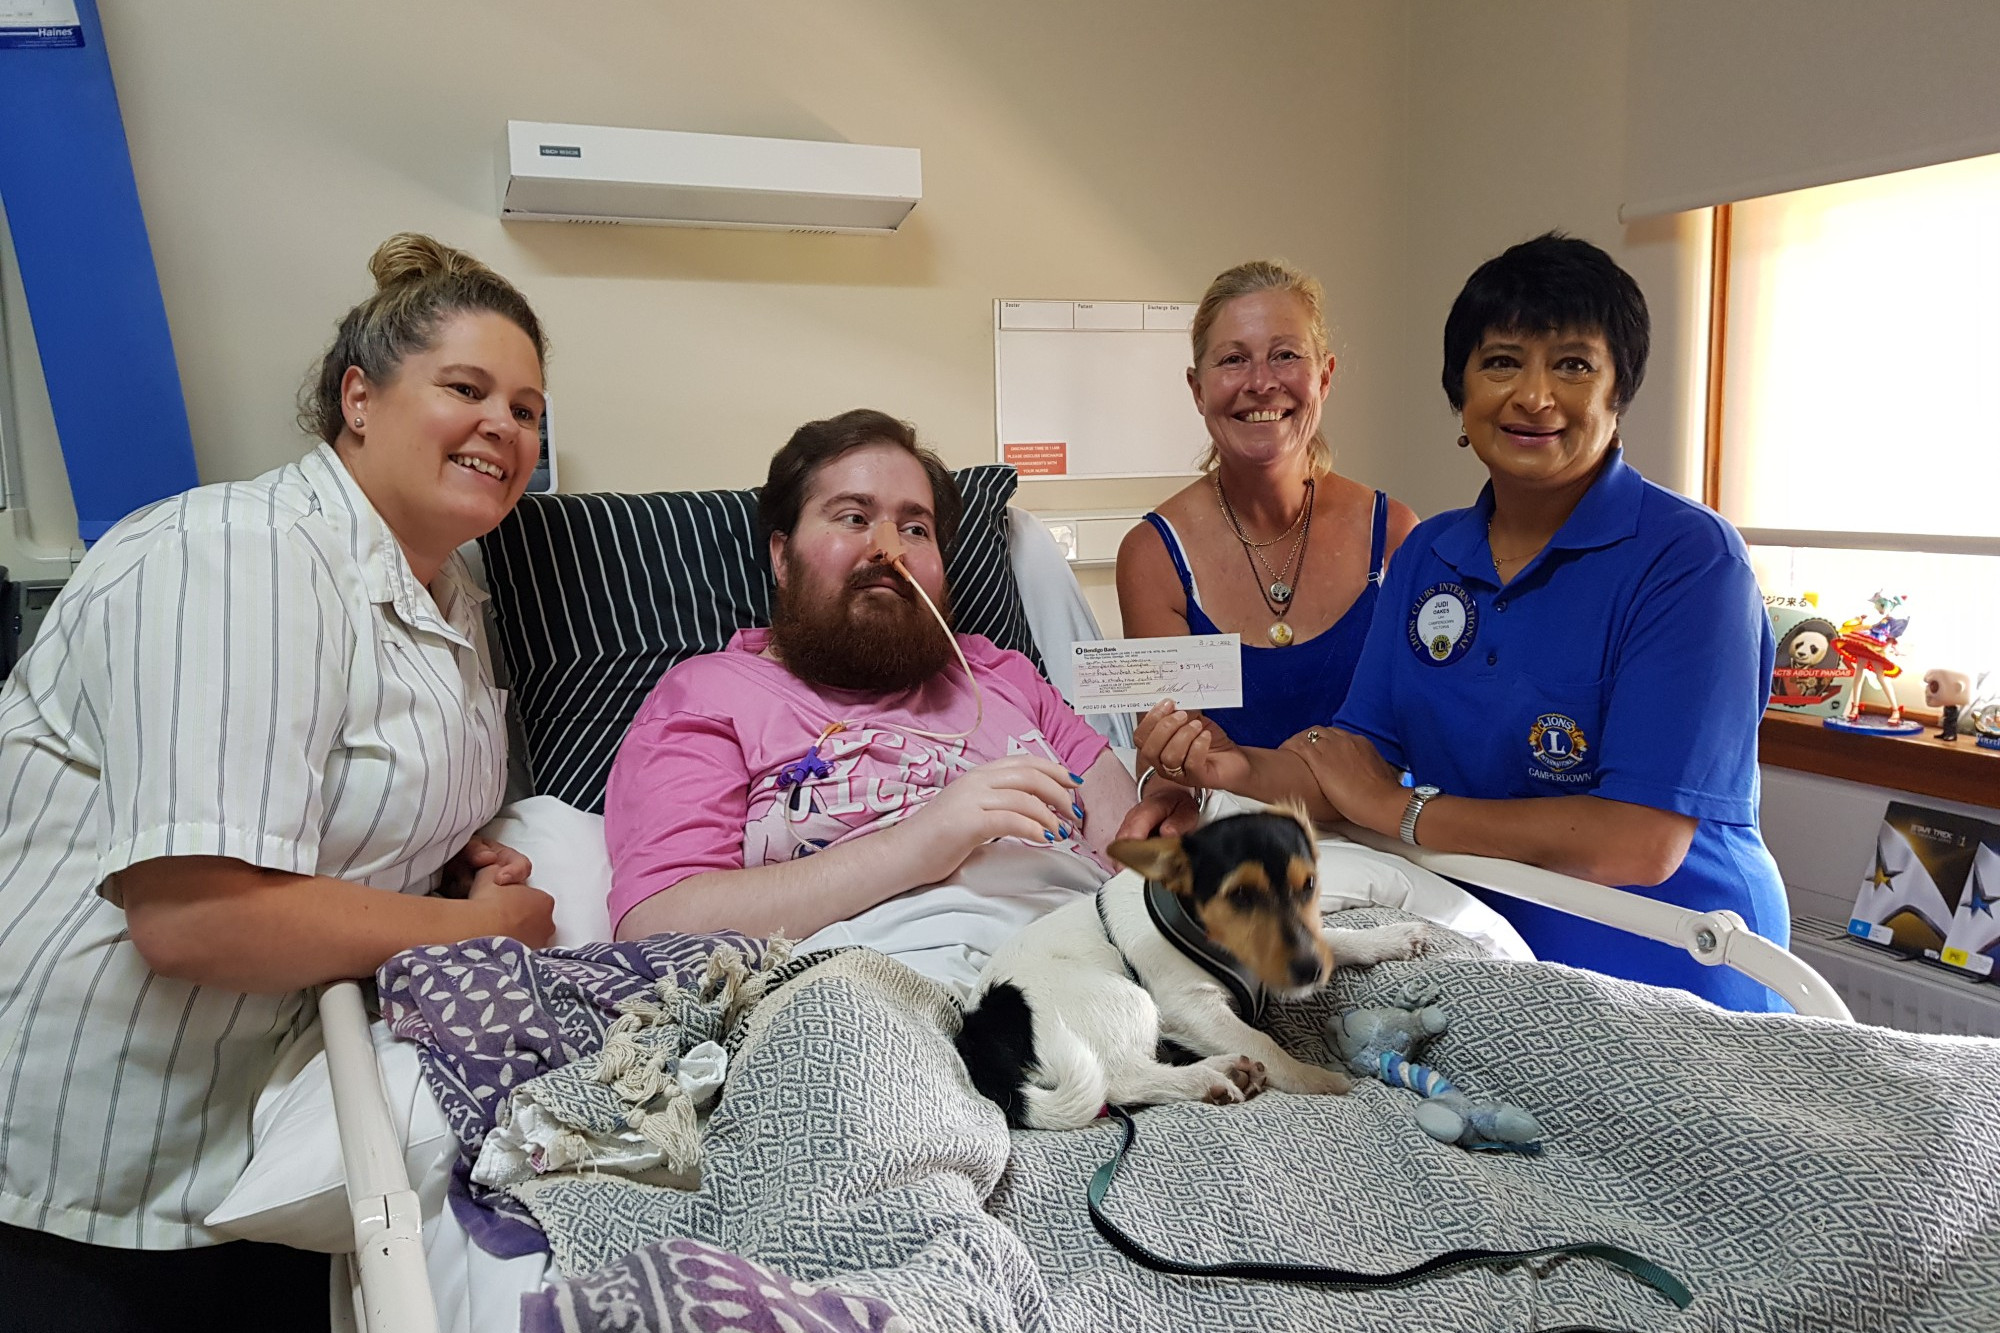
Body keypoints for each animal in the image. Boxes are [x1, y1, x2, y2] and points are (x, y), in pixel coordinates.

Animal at [960, 800, 1432, 1120]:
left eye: (1310, 885)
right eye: (1240, 895)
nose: (1309, 972)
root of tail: (981, 1024)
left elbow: (1336, 938)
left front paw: (1389, 939)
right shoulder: (1189, 1009)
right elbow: (1262, 1041)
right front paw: (1313, 1078)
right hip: (1123, 999)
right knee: (1123, 1079)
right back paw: (1207, 1077)